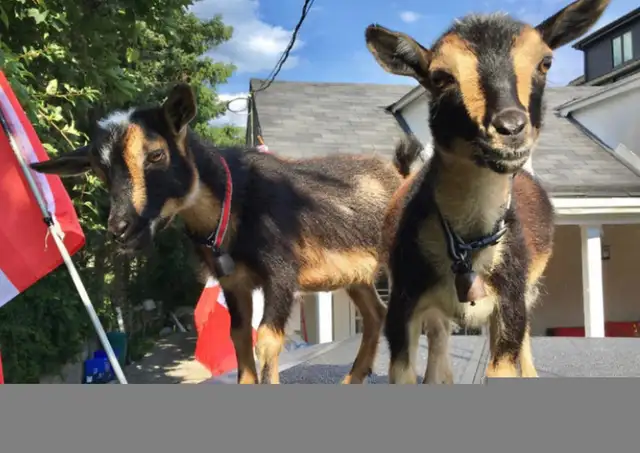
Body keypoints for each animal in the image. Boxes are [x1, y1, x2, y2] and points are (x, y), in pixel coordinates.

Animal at [29, 83, 423, 384]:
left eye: (156, 154)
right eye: (99, 170)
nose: (121, 229)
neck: (234, 202)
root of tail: (400, 172)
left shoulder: (281, 274)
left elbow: (266, 341)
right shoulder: (234, 283)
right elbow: (239, 339)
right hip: (356, 274)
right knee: (376, 313)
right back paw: (352, 378)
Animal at [365, 0, 611, 383]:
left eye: (545, 62)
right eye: (440, 77)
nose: (510, 127)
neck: (468, 242)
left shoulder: (509, 303)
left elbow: (506, 360)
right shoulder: (403, 305)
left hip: (526, 292)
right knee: (439, 338)